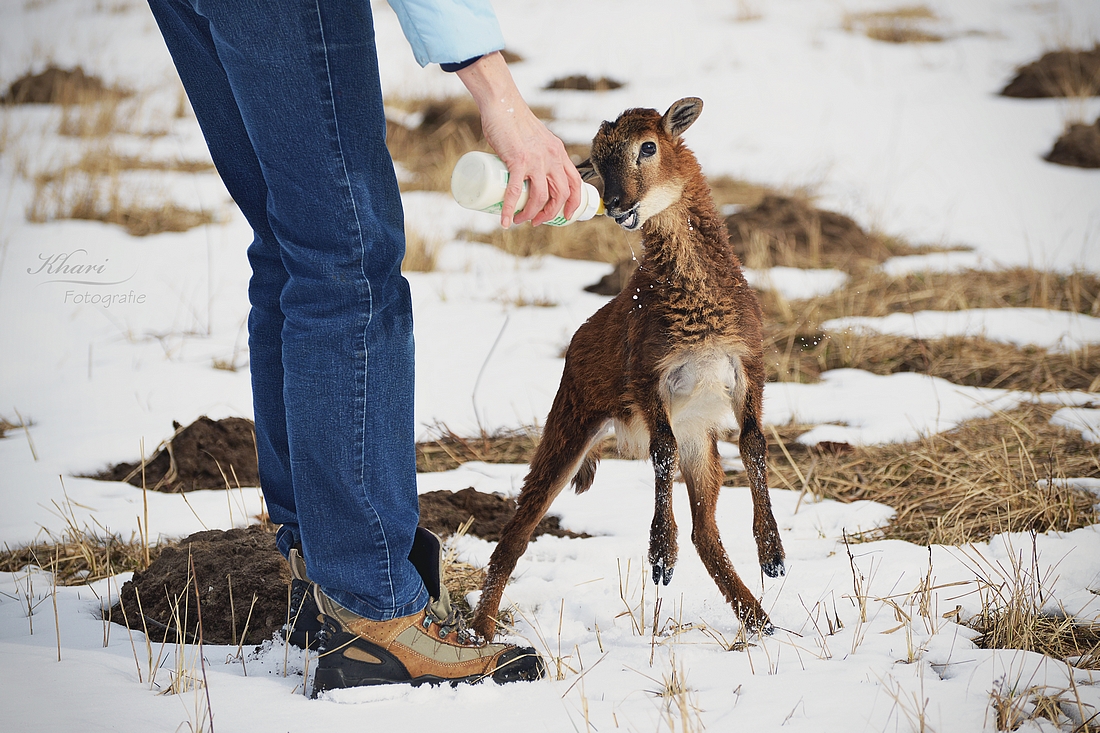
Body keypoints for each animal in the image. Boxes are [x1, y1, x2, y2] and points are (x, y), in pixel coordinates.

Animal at [468, 98, 787, 638]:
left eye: (649, 146)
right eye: (596, 162)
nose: (616, 204)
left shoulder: (748, 365)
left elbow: (755, 444)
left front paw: (774, 555)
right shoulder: (646, 375)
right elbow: (660, 451)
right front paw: (659, 558)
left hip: (699, 439)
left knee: (706, 530)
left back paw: (763, 625)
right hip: (571, 417)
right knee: (517, 531)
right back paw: (480, 633)